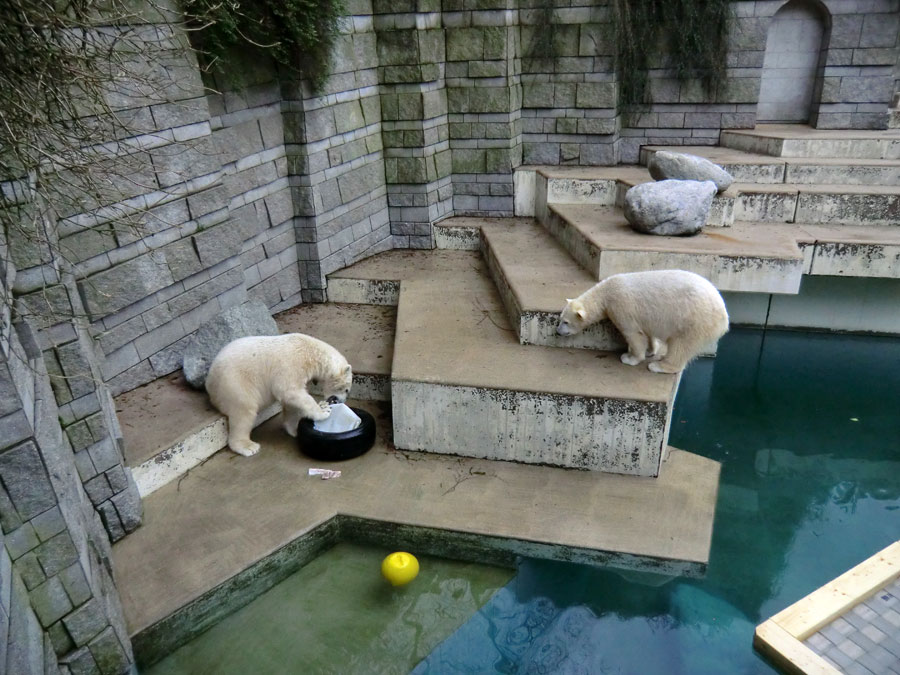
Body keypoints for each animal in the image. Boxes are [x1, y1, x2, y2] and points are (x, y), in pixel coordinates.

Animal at [206, 334, 354, 456]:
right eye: (346, 390)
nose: (340, 401)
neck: (311, 353)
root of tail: (209, 382)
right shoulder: (292, 365)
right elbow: (289, 391)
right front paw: (323, 410)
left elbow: (291, 402)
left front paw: (294, 429)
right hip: (236, 382)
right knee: (244, 410)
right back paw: (248, 447)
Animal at [560, 270, 728, 374]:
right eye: (561, 319)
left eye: (566, 322)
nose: (558, 331)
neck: (606, 292)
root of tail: (724, 318)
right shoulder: (644, 316)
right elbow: (646, 332)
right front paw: (650, 351)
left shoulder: (621, 306)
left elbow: (633, 334)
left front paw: (629, 358)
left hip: (694, 320)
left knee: (681, 345)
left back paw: (658, 366)